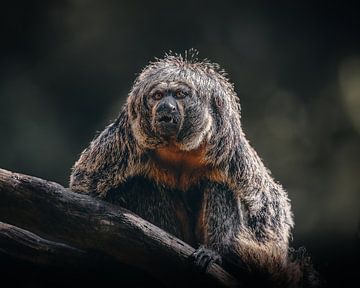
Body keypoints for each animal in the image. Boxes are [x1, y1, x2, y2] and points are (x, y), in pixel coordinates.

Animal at [70, 50, 318, 286]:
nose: (166, 106)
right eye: (158, 96)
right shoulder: (127, 138)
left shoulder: (227, 144)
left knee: (220, 184)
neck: (178, 148)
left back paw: (215, 253)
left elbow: (267, 206)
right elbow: (85, 183)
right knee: (142, 183)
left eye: (180, 95)